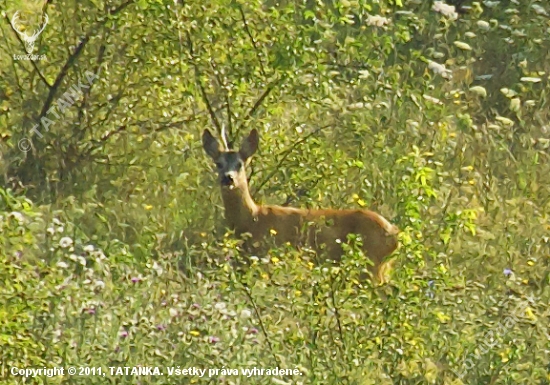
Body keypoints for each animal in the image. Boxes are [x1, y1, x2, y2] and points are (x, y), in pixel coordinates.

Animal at [203, 129, 402, 282]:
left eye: (240, 164)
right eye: (218, 163)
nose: (228, 178)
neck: (252, 218)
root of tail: (394, 234)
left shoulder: (266, 255)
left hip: (371, 264)